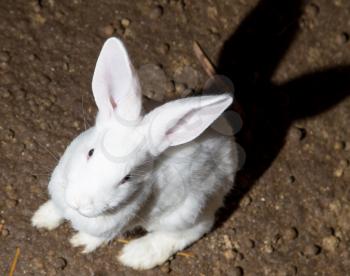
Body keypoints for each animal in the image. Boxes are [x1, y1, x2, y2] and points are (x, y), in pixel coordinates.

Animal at [31, 37, 238, 270]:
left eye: (126, 178)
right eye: (90, 152)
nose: (79, 202)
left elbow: (98, 236)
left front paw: (80, 242)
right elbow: (57, 209)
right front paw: (41, 218)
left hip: (188, 211)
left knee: (193, 231)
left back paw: (136, 255)